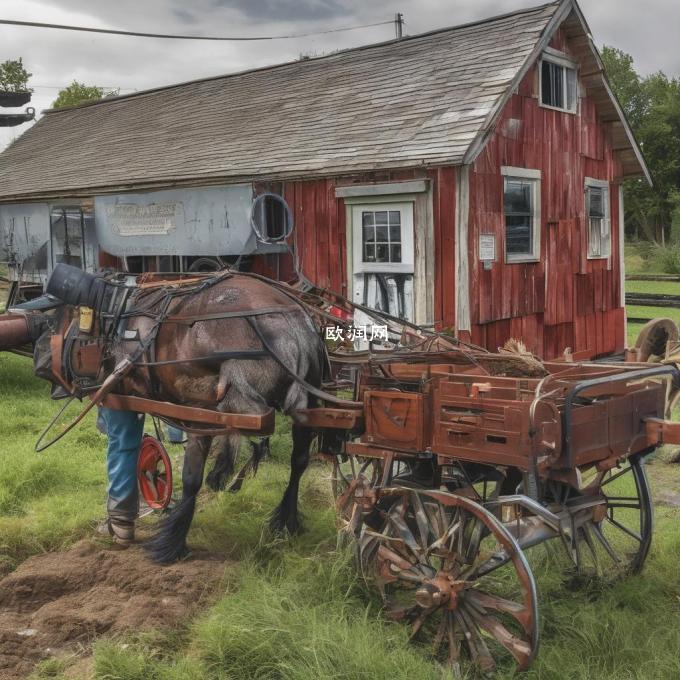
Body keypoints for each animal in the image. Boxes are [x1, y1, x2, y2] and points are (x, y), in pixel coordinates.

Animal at [23, 266, 326, 564]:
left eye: (52, 321)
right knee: (299, 461)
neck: (115, 311)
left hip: (222, 402)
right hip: (309, 402)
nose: (39, 360)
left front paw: (160, 537)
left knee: (206, 464)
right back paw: (285, 520)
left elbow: (141, 464)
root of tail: (293, 326)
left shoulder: (142, 404)